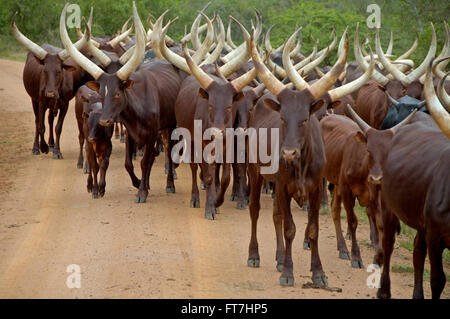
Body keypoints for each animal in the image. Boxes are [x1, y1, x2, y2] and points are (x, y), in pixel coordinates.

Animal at [378, 64, 448, 300]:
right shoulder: (435, 235)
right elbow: (437, 279)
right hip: (389, 207)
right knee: (389, 243)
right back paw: (384, 289)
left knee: (417, 251)